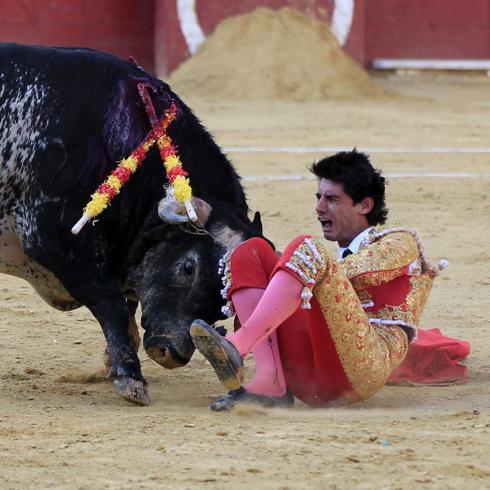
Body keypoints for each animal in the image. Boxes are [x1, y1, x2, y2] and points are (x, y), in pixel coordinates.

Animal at [0, 44, 266, 406]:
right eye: (188, 268)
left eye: (226, 303)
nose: (171, 351)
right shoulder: (54, 241)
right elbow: (111, 304)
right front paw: (130, 378)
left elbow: (126, 314)